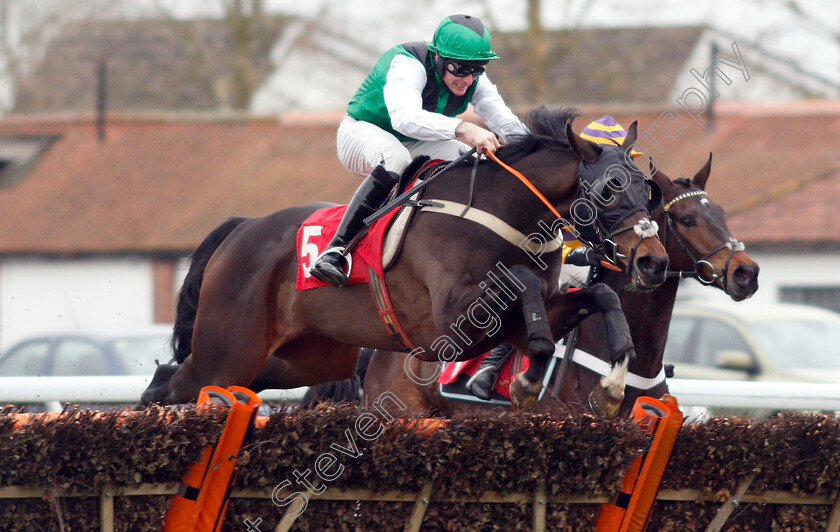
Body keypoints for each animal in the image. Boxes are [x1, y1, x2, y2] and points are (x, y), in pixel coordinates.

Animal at [143, 106, 668, 410]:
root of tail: (241, 230)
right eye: (609, 188)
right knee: (187, 381)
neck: (504, 212)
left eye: (647, 188)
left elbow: (599, 295)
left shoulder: (521, 321)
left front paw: (613, 382)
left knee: (193, 378)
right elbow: (518, 280)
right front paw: (526, 380)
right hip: (230, 350)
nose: (653, 261)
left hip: (300, 359)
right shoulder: (452, 323)